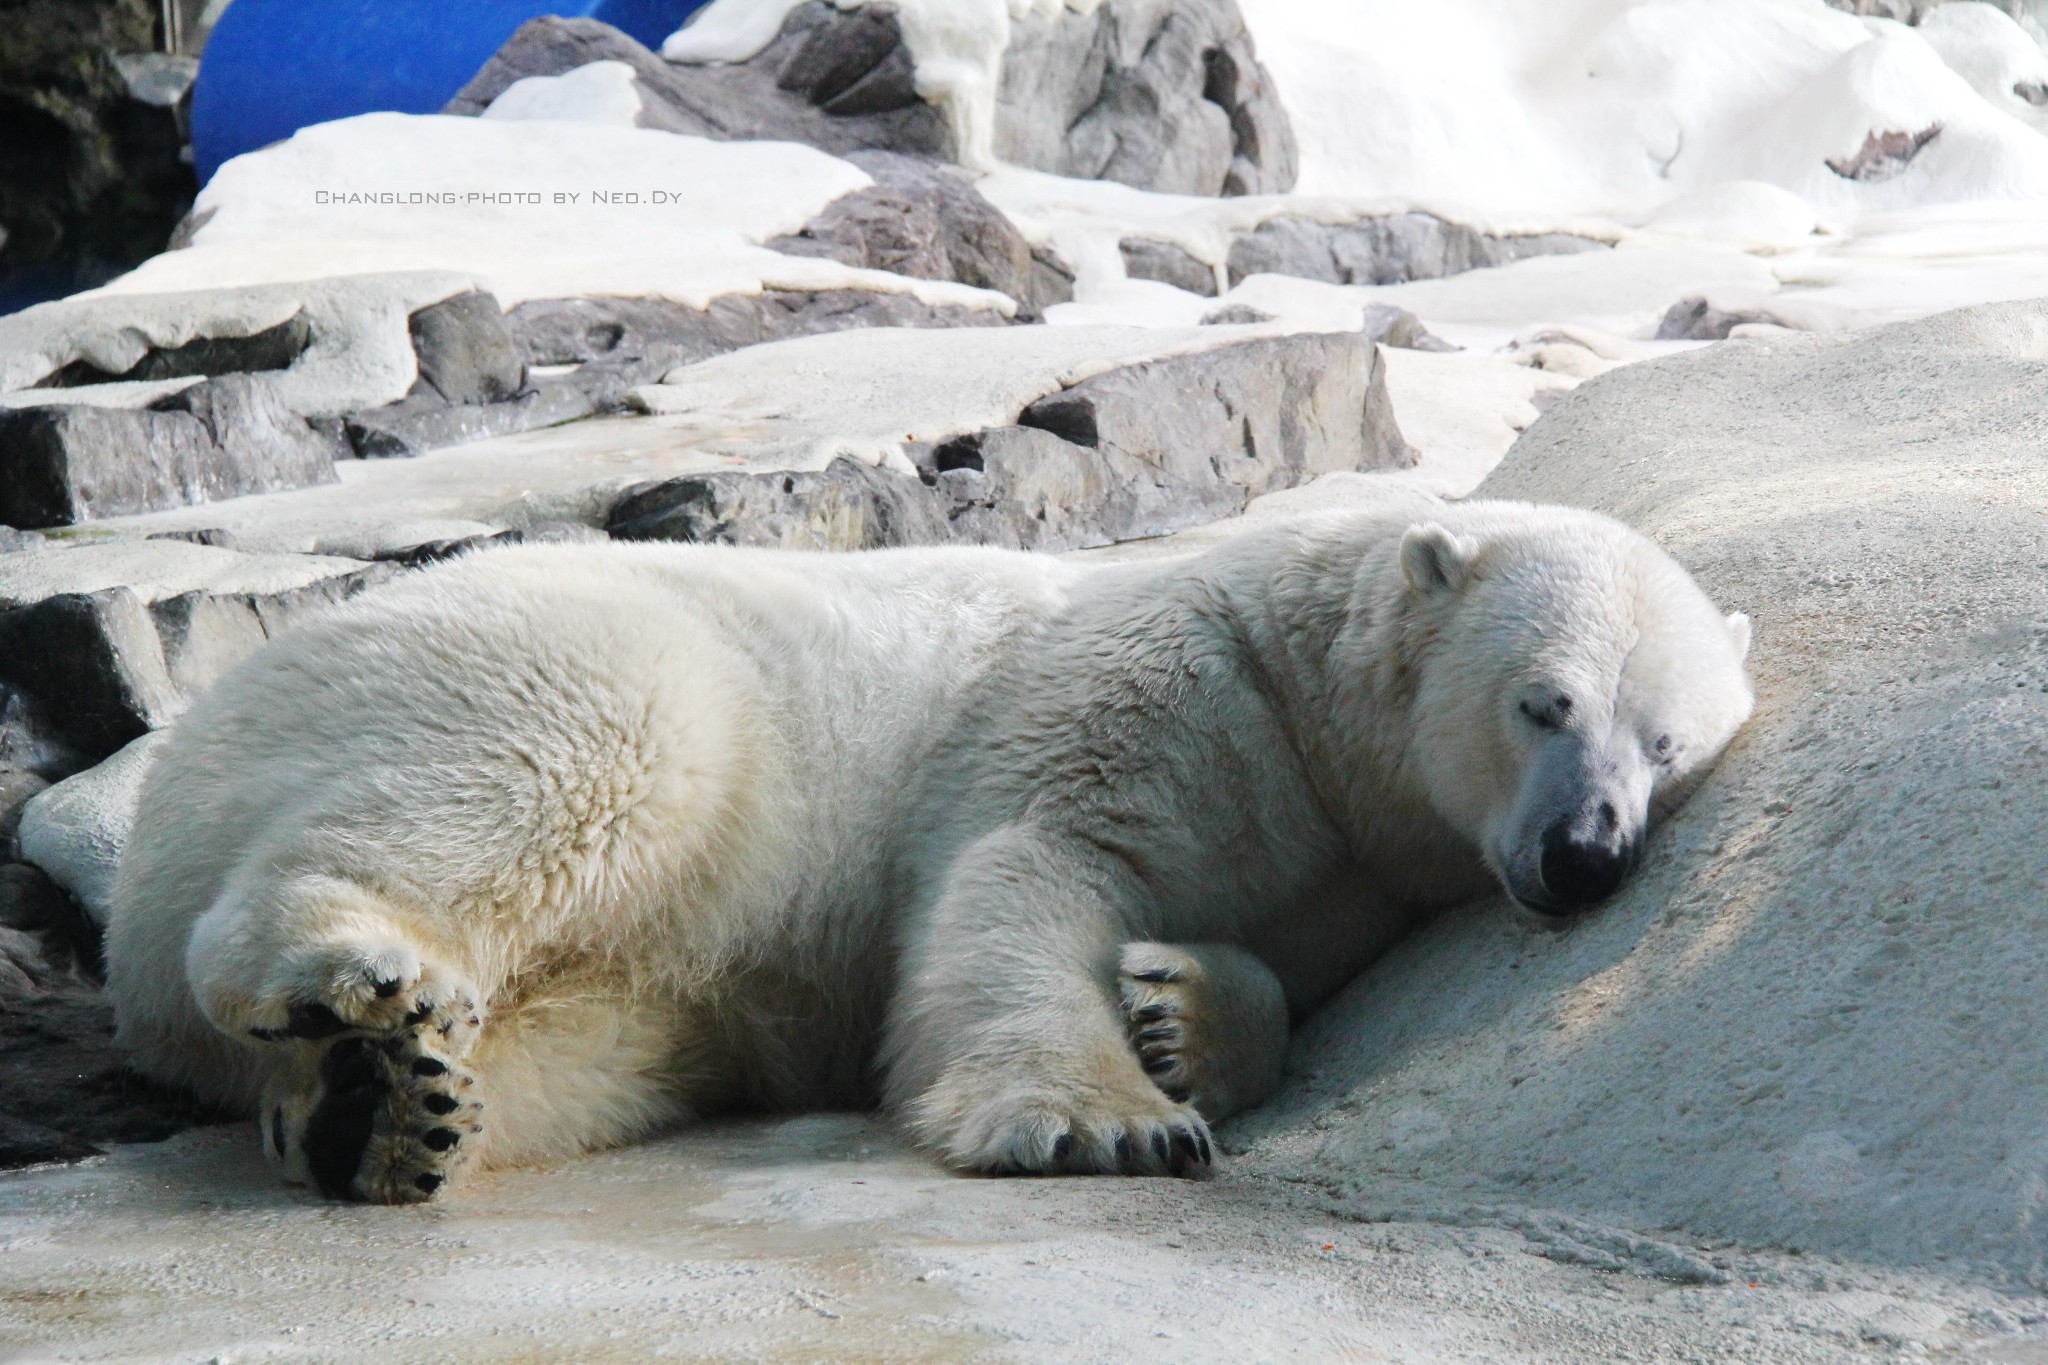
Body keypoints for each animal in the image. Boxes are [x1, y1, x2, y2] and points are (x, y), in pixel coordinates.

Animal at [108, 499, 1744, 1195]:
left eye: (1668, 745)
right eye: (1545, 702)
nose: (1588, 855)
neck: (1295, 681)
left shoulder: (1348, 868)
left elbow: (1276, 959)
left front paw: (1180, 1015)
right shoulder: (1144, 687)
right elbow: (1024, 869)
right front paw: (1110, 1120)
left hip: (658, 985)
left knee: (607, 1037)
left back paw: (379, 1106)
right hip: (538, 663)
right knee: (596, 752)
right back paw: (349, 975)